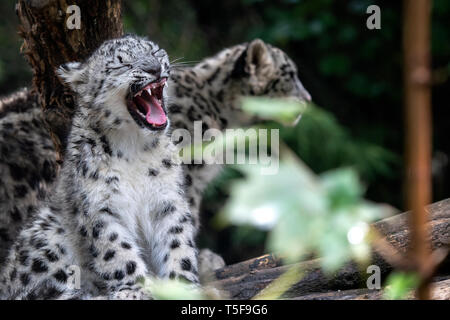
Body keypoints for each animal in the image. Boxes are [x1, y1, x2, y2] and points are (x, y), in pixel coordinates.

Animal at [0, 35, 200, 300]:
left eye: (154, 52)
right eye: (122, 63)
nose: (154, 68)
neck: (134, 146)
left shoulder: (166, 200)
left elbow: (177, 243)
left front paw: (184, 286)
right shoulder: (100, 206)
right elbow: (116, 249)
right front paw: (134, 291)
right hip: (47, 235)